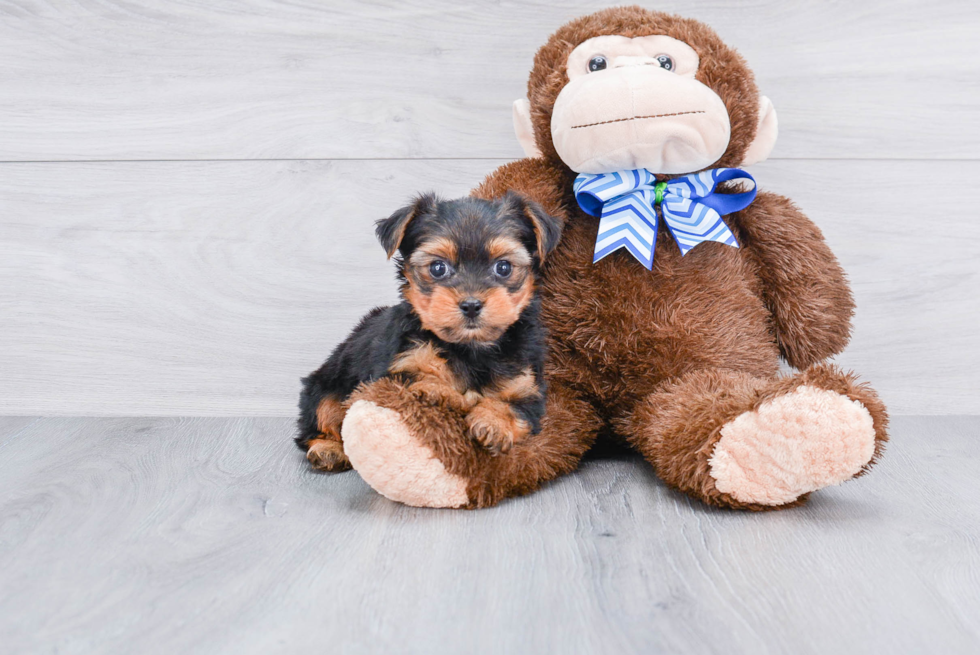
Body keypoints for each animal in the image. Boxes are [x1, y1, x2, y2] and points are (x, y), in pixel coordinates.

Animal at [294, 192, 564, 474]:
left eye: (503, 268)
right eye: (438, 268)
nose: (471, 305)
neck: (470, 348)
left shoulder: (527, 386)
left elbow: (516, 408)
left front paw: (493, 423)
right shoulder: (395, 368)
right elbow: (418, 378)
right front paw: (440, 391)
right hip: (324, 386)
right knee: (319, 420)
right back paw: (328, 449)